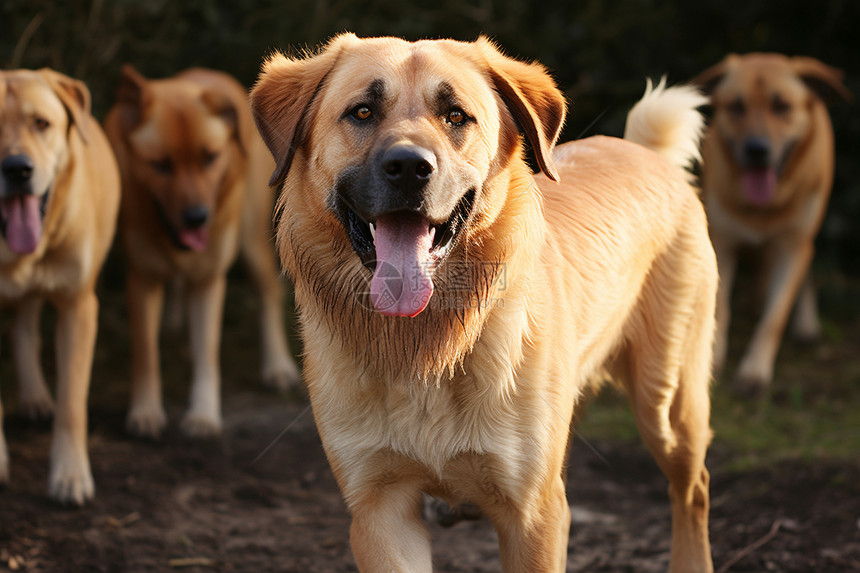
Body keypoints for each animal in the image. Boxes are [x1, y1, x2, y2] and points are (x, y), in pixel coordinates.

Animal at [0, 68, 121, 504]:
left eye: (41, 123)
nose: (17, 169)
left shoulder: (78, 305)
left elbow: (72, 402)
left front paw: (70, 476)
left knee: (24, 325)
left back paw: (36, 397)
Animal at [104, 65, 300, 436]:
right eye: (161, 164)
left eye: (210, 157)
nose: (197, 217)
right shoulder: (142, 278)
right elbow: (145, 353)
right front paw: (145, 411)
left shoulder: (209, 280)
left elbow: (206, 351)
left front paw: (203, 414)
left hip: (251, 242)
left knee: (270, 292)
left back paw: (278, 365)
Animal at [250, 33, 720, 568]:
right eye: (362, 112)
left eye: (456, 116)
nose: (409, 168)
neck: (426, 344)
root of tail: (647, 154)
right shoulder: (381, 510)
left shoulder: (533, 514)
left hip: (666, 403)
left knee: (693, 488)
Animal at [696, 53, 848, 394]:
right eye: (736, 106)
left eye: (782, 106)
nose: (757, 149)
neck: (765, 207)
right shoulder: (722, 242)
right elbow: (721, 306)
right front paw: (712, 360)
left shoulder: (792, 246)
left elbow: (774, 317)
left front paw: (754, 371)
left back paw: (805, 323)